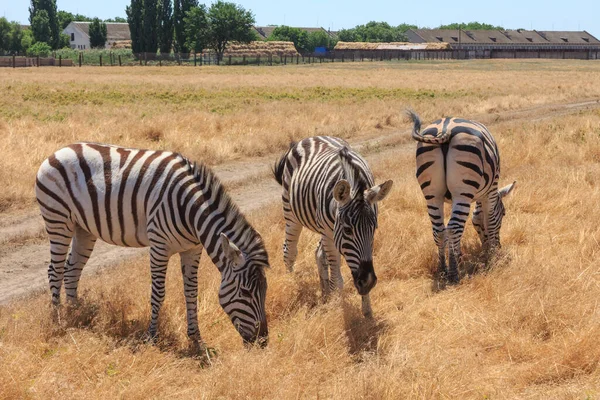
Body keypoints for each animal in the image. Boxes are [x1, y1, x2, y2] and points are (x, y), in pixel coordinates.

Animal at [35, 143, 270, 346]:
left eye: (264, 290)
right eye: (246, 292)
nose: (263, 341)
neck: (191, 211)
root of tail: (59, 150)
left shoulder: (192, 249)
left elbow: (191, 291)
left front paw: (195, 337)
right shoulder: (159, 246)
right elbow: (158, 293)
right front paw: (152, 336)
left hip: (83, 228)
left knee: (72, 270)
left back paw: (77, 314)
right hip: (58, 219)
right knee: (55, 271)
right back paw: (59, 320)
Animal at [272, 136, 394, 318]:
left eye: (374, 230)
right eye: (348, 230)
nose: (368, 282)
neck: (356, 185)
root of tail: (311, 137)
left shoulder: (335, 235)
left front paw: (367, 311)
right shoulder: (332, 236)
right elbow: (338, 280)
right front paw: (339, 309)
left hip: (323, 229)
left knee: (318, 253)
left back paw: (325, 293)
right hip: (292, 214)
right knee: (289, 251)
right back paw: (291, 284)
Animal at [408, 111, 516, 282]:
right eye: (504, 213)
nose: (496, 247)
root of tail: (445, 128)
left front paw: (459, 256)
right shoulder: (491, 190)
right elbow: (490, 220)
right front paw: (494, 256)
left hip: (432, 194)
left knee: (439, 230)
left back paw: (443, 270)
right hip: (463, 189)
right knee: (453, 228)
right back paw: (453, 274)